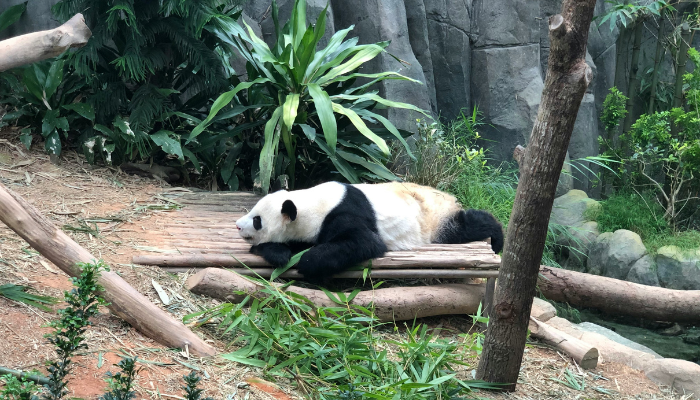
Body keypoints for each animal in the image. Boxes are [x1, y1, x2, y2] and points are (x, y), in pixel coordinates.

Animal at [235, 181, 504, 280]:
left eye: (257, 220)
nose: (237, 225)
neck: (311, 204)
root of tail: (447, 196)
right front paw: (278, 252)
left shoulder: (344, 213)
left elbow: (364, 242)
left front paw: (308, 263)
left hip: (434, 218)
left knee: (464, 227)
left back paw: (497, 238)